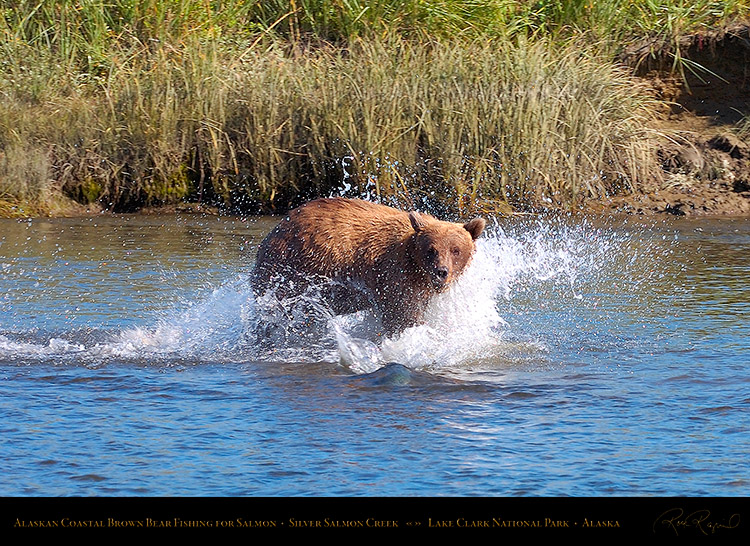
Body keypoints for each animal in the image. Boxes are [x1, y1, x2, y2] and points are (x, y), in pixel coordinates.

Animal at [253, 196, 488, 332]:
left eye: (455, 250)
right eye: (431, 250)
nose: (441, 272)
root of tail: (276, 229)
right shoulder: (394, 276)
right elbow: (402, 315)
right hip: (290, 271)